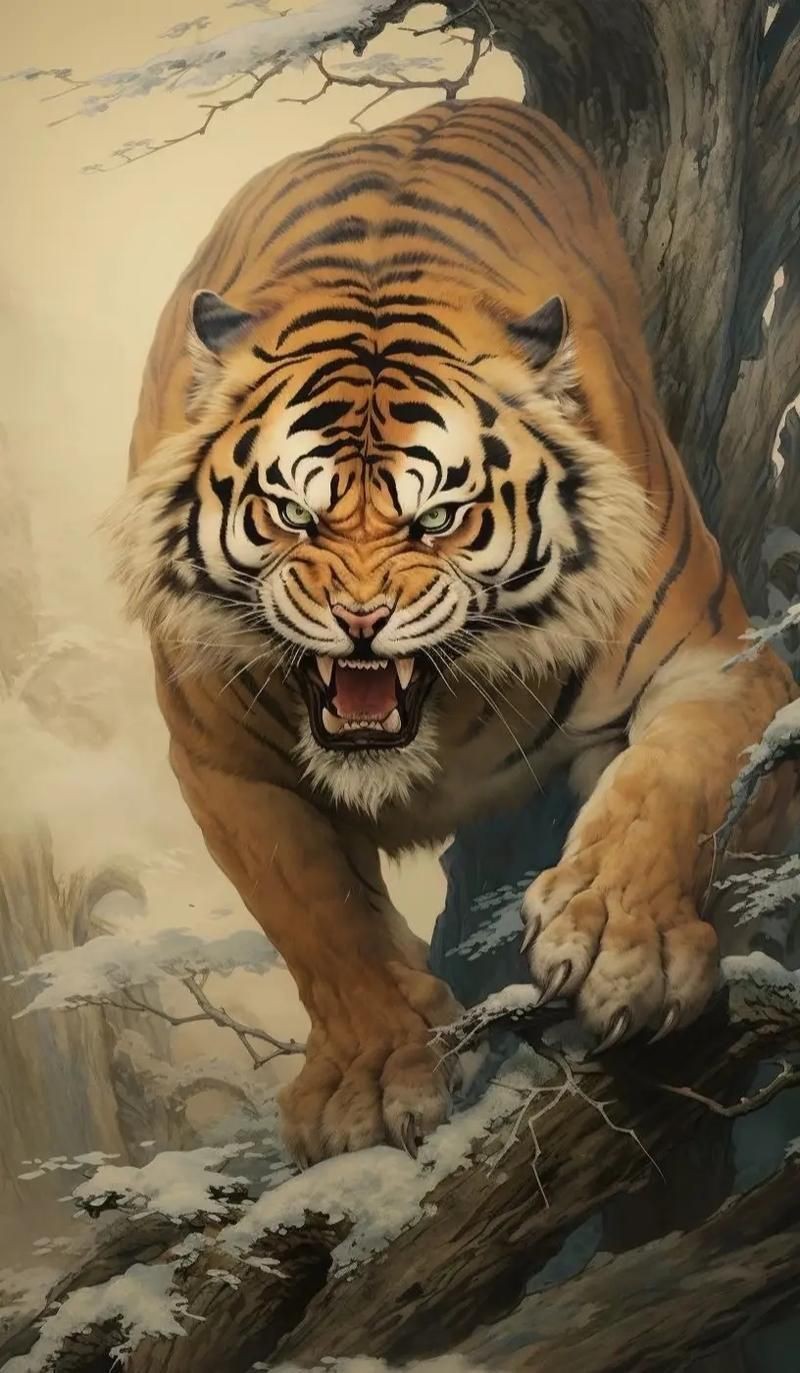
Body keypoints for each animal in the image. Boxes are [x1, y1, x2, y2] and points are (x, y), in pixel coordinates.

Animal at [111, 96, 795, 1165]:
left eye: (439, 515)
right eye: (291, 511)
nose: (359, 621)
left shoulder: (722, 662)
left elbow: (669, 784)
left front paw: (620, 942)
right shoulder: (221, 758)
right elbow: (318, 912)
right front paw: (370, 1080)